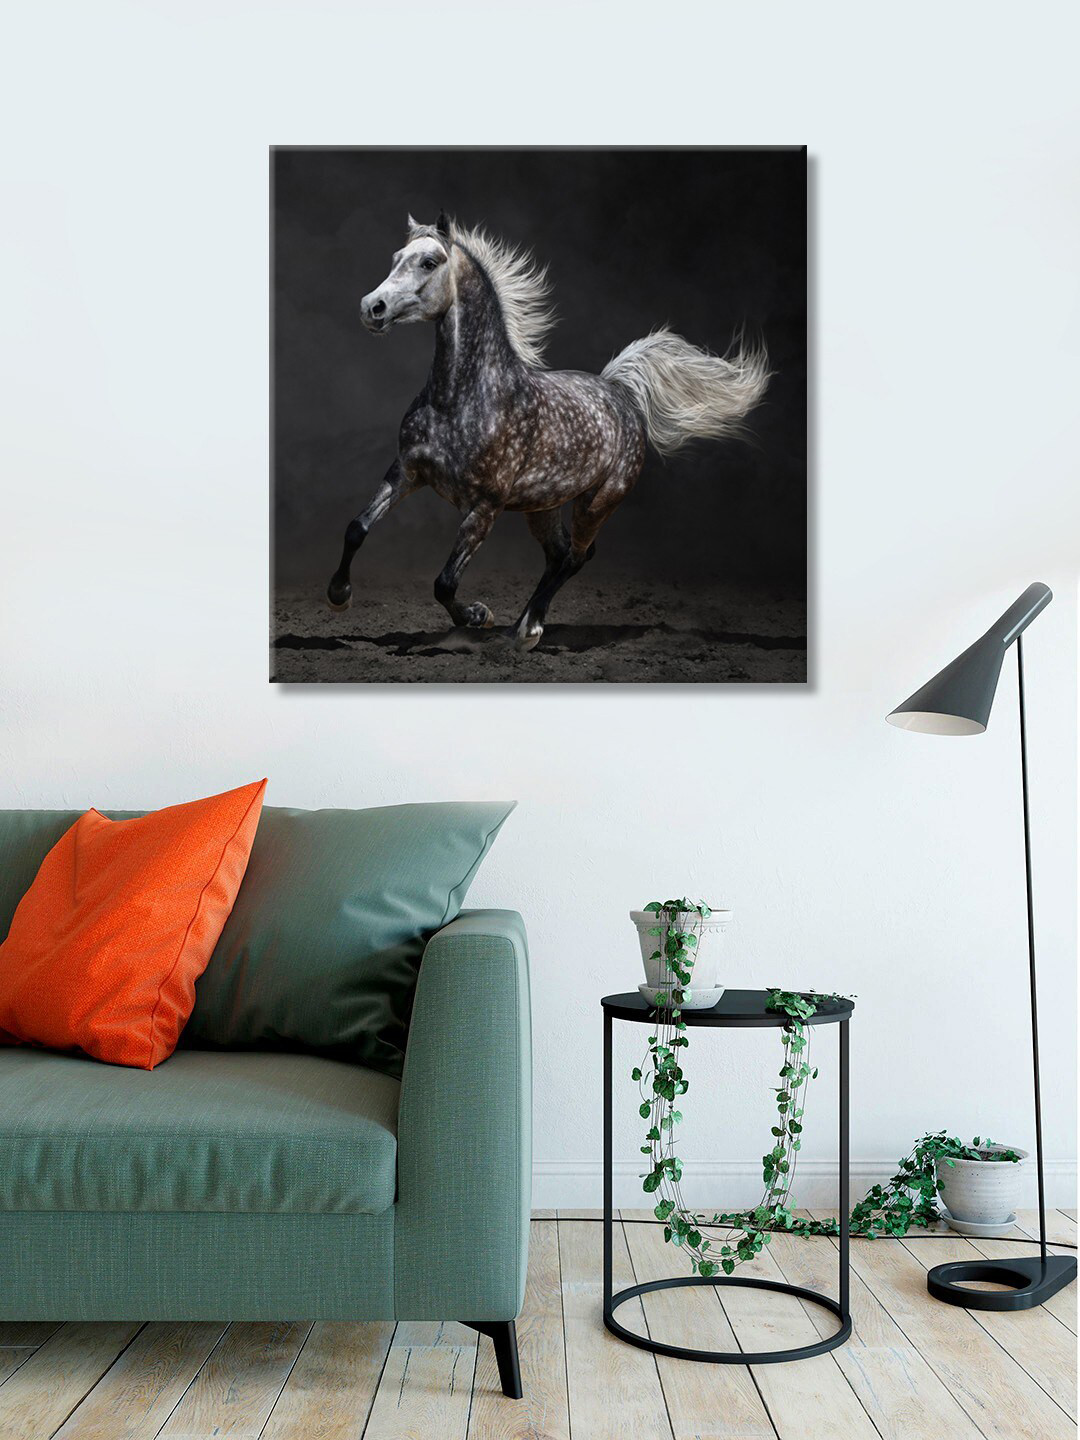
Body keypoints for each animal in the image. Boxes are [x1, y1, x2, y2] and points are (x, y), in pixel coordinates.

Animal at [327, 212, 770, 650]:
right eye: (396, 257)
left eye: (429, 262)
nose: (372, 307)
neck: (460, 399)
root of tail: (620, 392)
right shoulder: (406, 472)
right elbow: (356, 528)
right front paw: (338, 596)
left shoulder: (484, 507)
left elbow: (445, 583)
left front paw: (478, 616)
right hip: (543, 506)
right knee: (559, 555)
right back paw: (522, 625)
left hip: (597, 502)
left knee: (576, 556)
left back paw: (528, 630)